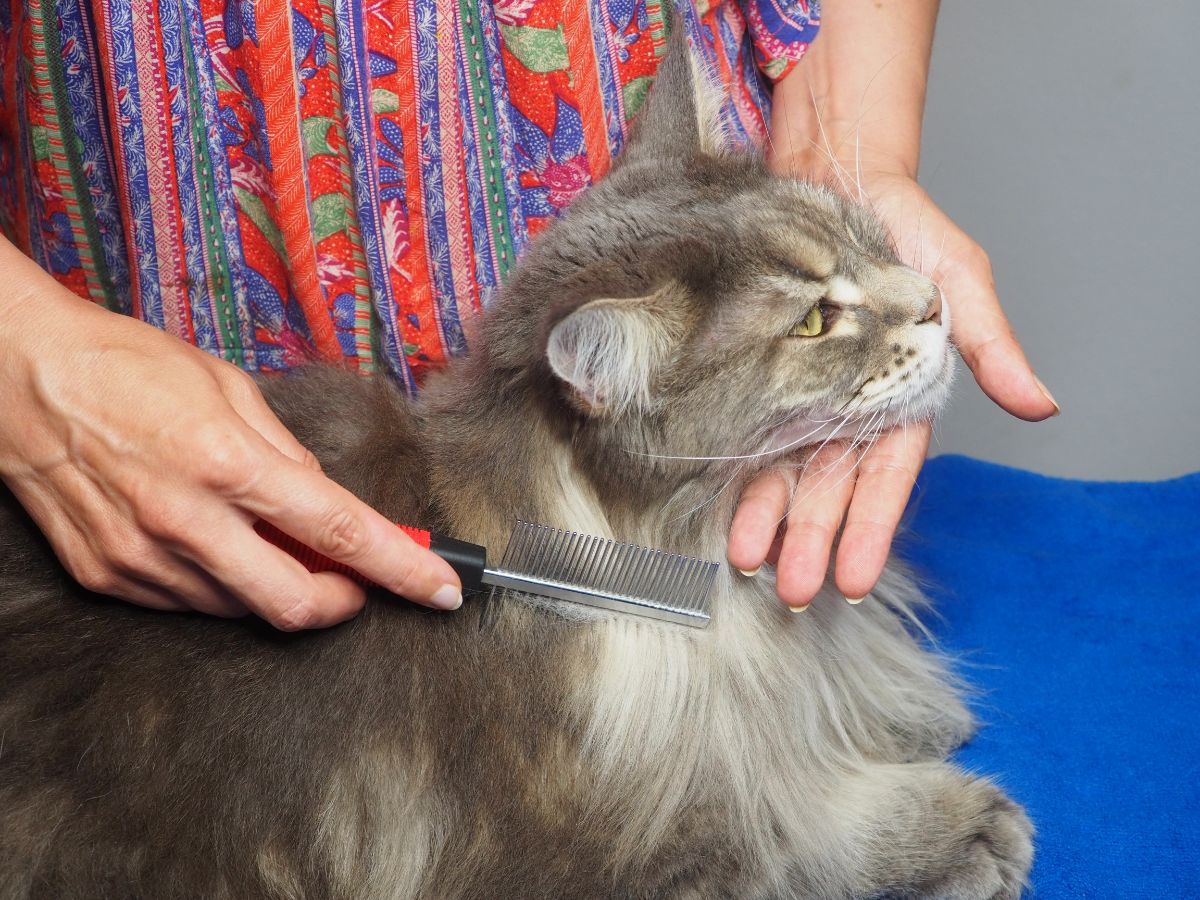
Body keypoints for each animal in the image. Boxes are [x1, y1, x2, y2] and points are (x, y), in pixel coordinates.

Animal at [0, 22, 1032, 900]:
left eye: (865, 236)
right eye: (816, 321)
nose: (935, 301)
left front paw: (903, 714)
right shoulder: (621, 841)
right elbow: (794, 826)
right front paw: (962, 826)